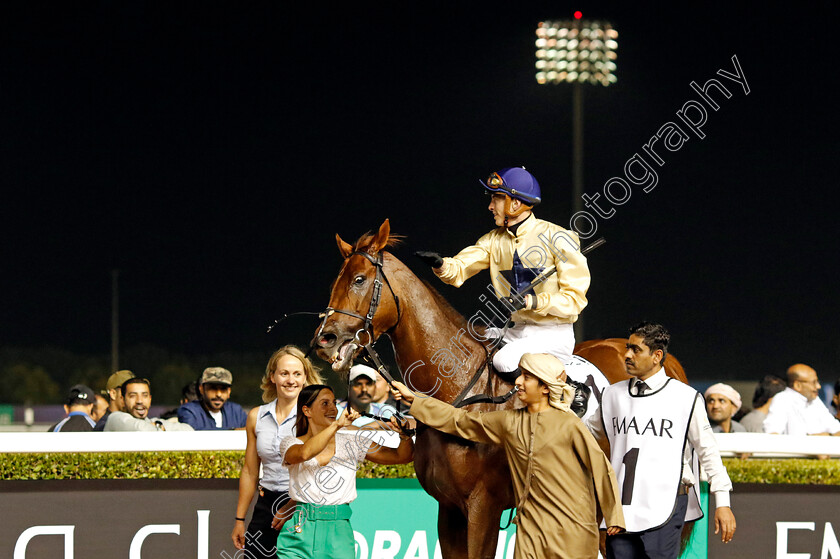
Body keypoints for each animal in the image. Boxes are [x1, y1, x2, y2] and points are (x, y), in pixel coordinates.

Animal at [316, 221, 688, 556]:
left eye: (360, 279)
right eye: (336, 281)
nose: (324, 338)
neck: (458, 389)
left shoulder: (484, 506)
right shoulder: (448, 511)